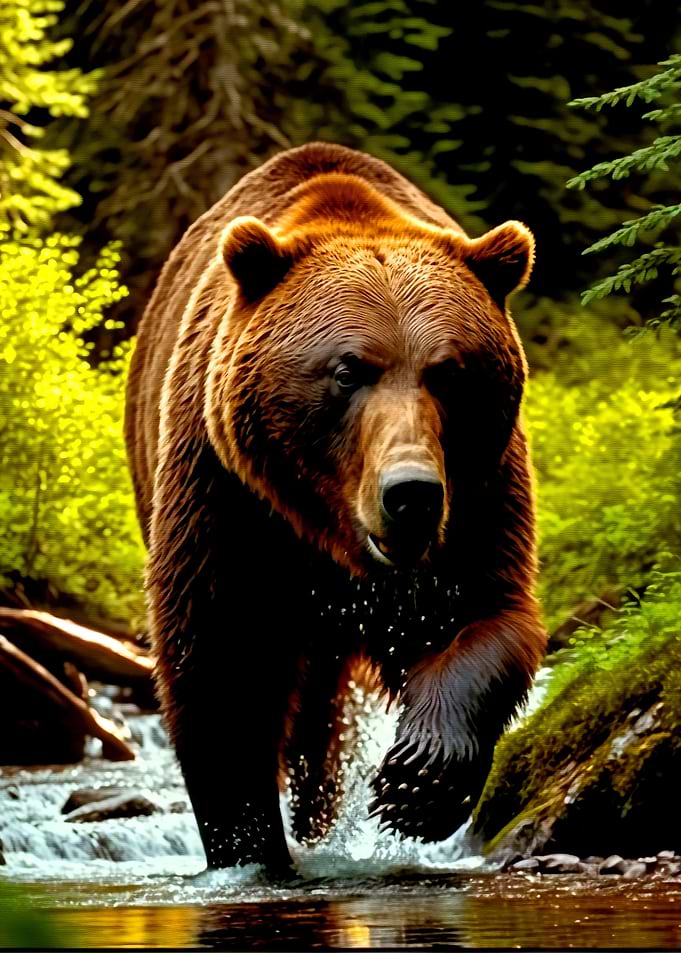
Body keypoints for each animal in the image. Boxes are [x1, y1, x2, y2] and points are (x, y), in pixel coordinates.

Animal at [125, 141, 546, 877]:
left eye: (449, 371)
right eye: (349, 370)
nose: (410, 493)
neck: (329, 536)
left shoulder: (479, 499)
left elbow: (484, 617)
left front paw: (416, 781)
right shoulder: (227, 498)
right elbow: (220, 667)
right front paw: (248, 846)